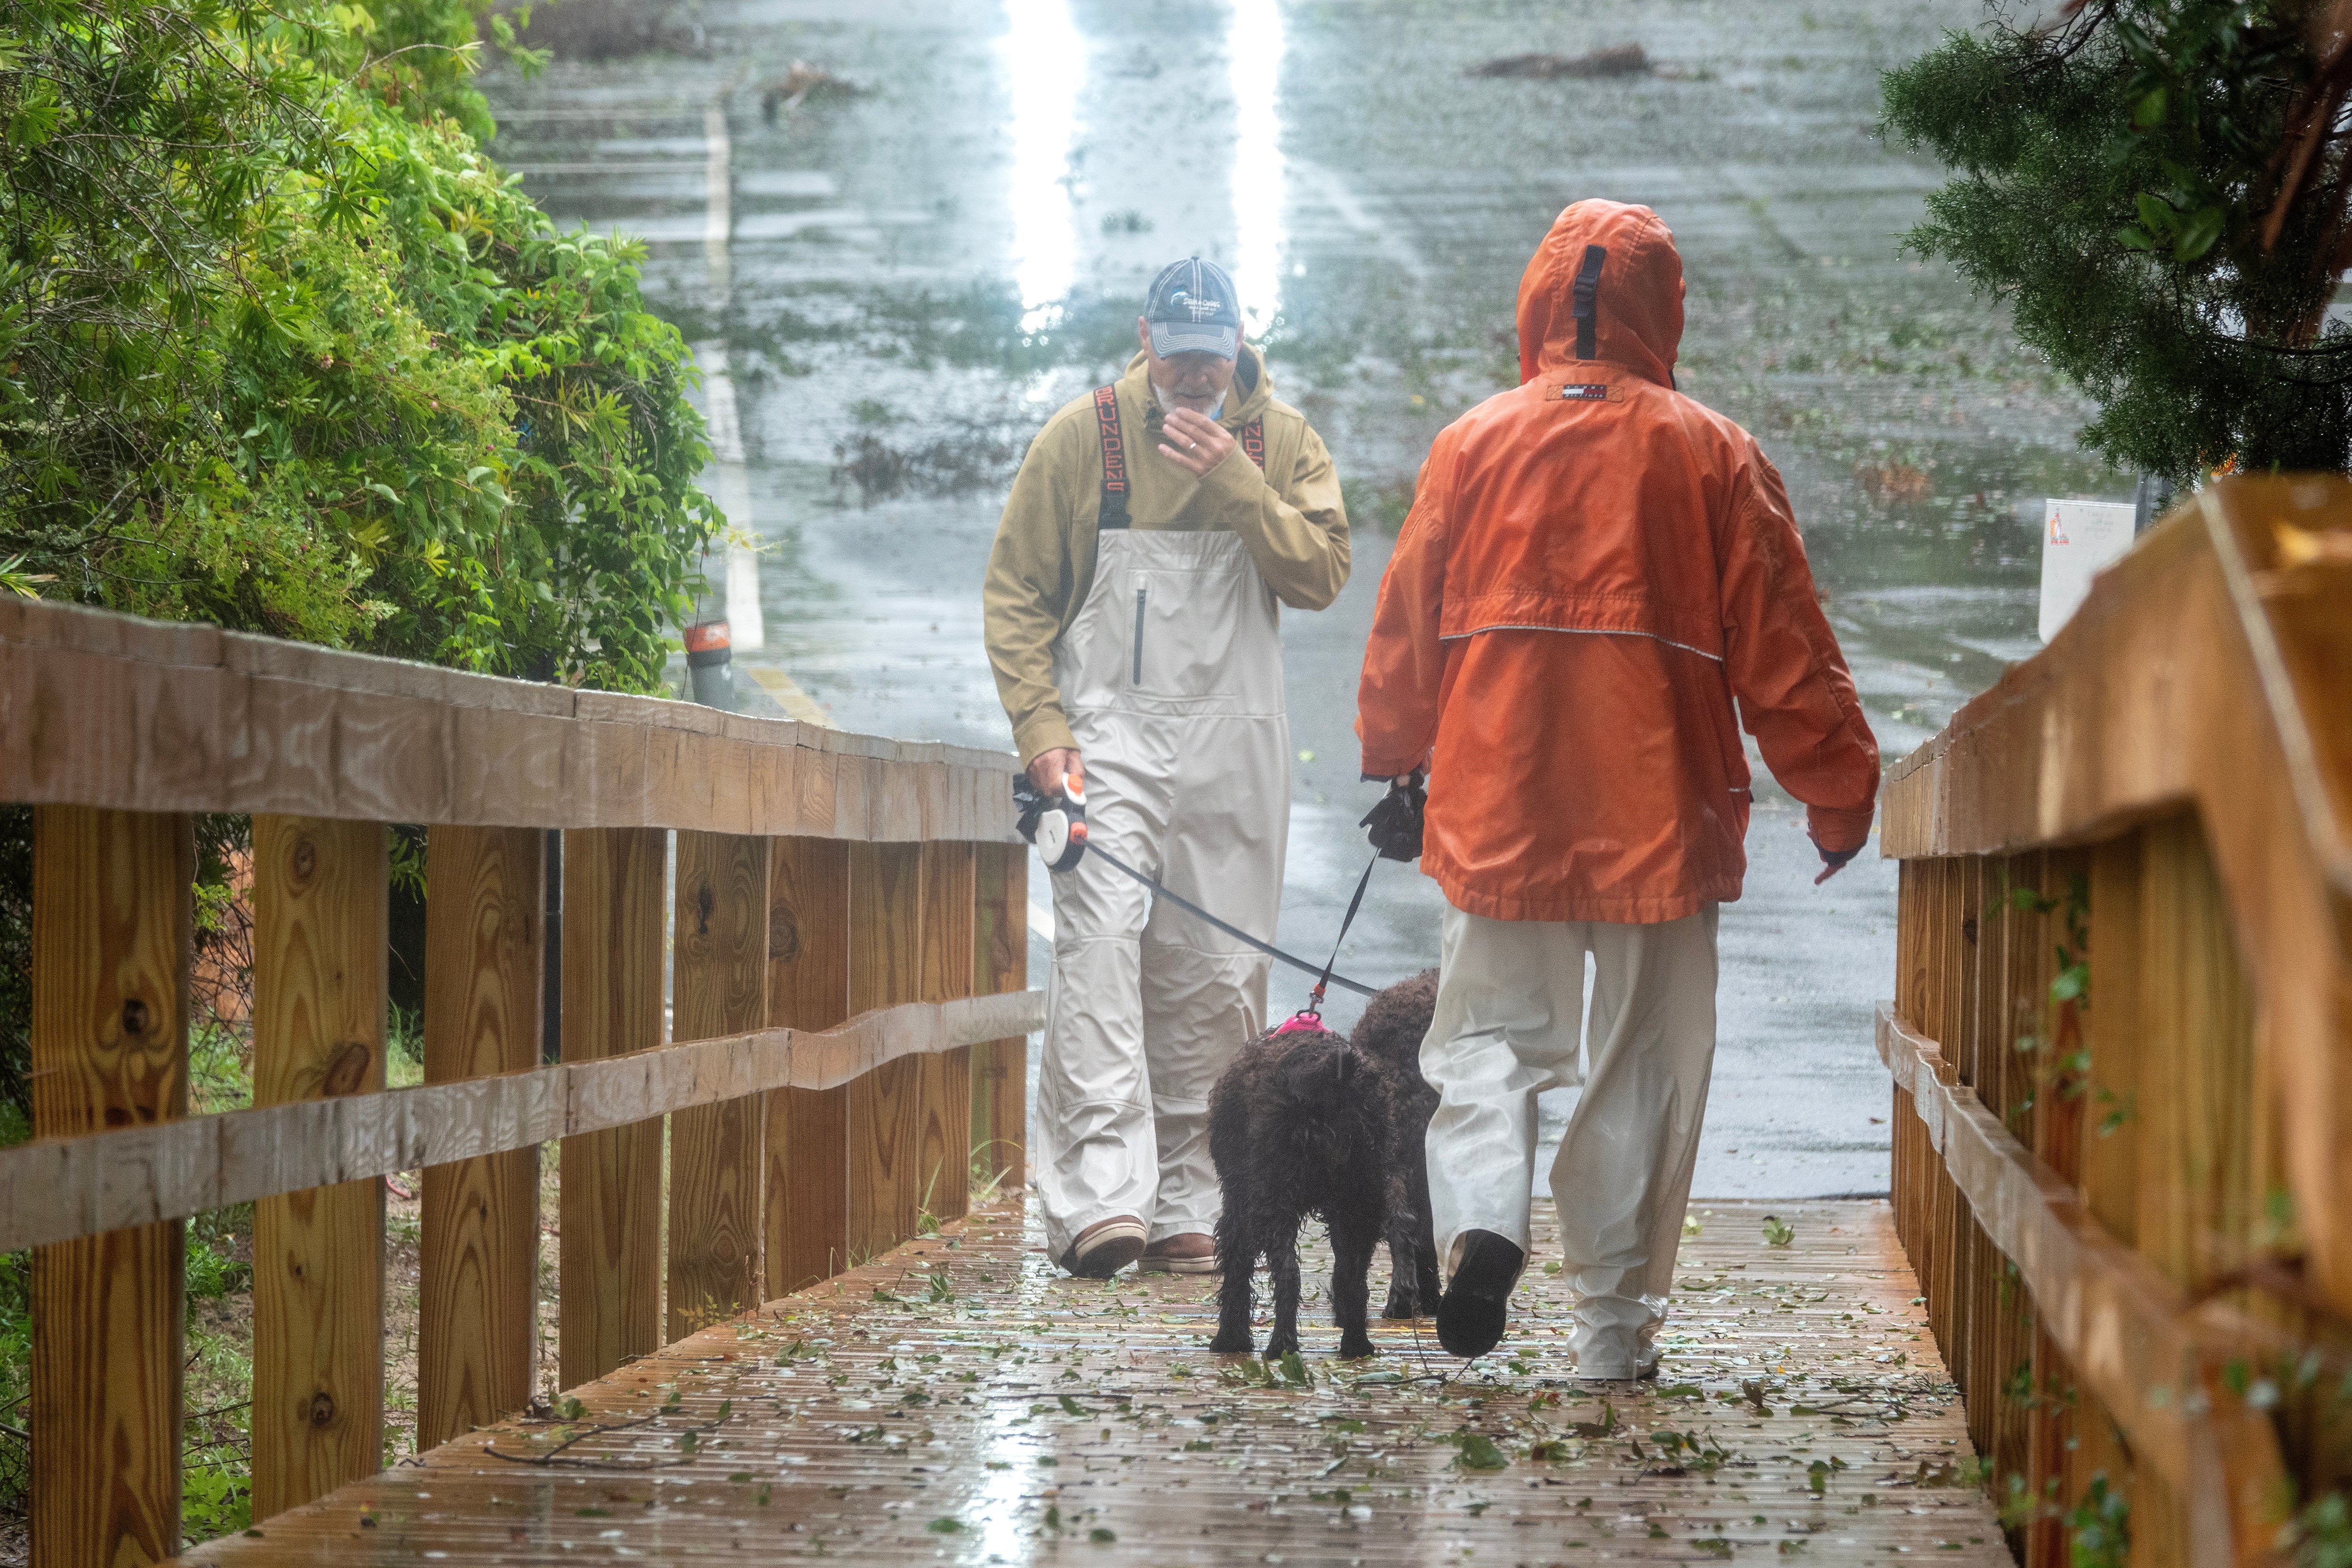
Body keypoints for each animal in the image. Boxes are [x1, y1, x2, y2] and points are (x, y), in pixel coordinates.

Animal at [1204, 968, 1439, 1363]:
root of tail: (1335, 1075)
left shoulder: (1240, 1198)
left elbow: (1237, 1263)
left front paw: (1230, 1338)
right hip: (1362, 1196)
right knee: (1356, 1275)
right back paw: (1357, 1342)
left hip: (1277, 1197)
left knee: (1289, 1273)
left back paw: (1282, 1345)